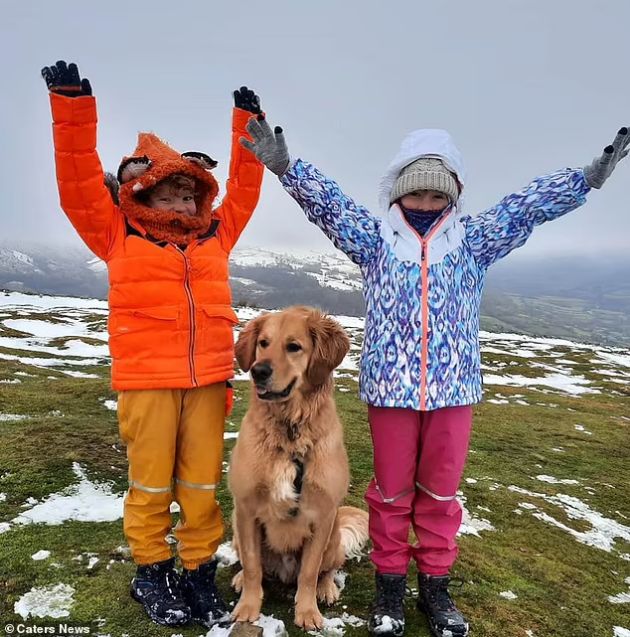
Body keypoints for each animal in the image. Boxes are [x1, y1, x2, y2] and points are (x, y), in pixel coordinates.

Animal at [231, 306, 370, 628]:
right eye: (263, 343)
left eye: (293, 347)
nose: (258, 371)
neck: (290, 430)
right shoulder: (245, 508)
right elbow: (253, 566)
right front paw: (248, 607)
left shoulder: (322, 515)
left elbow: (309, 571)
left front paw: (307, 612)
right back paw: (241, 579)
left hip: (334, 537)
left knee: (326, 569)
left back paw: (326, 588)